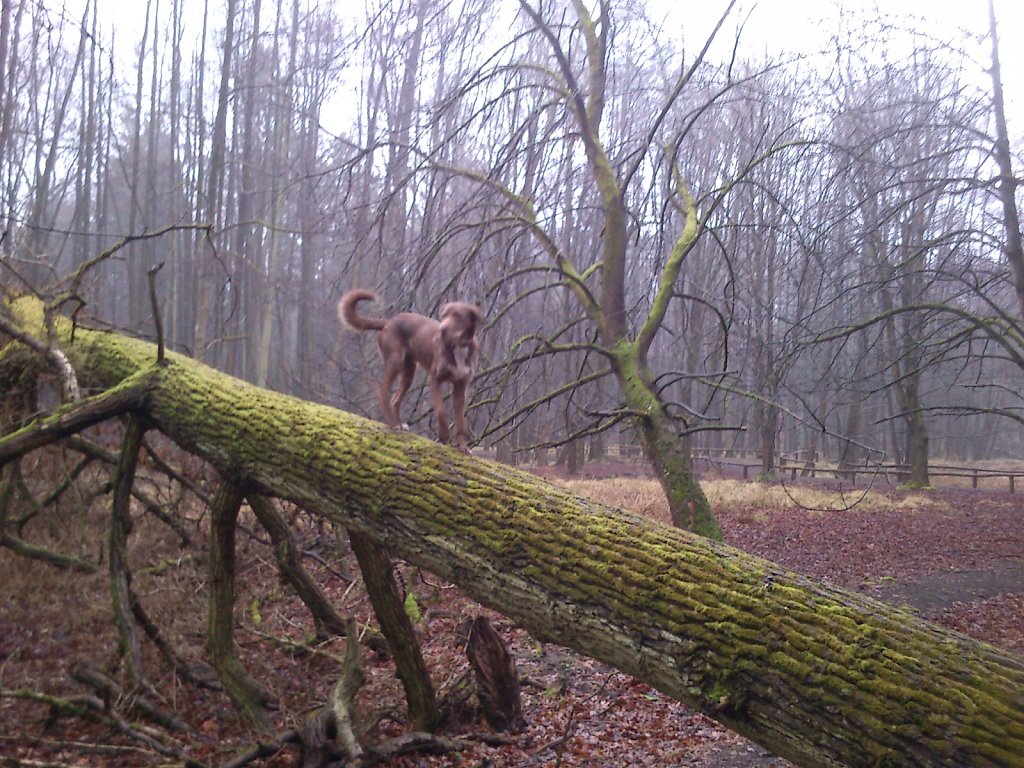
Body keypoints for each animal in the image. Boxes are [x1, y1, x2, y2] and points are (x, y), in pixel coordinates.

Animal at [335, 290, 479, 454]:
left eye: (458, 316)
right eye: (444, 316)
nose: (442, 330)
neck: (459, 347)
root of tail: (388, 322)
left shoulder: (460, 386)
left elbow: (460, 422)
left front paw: (463, 447)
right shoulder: (434, 379)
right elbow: (441, 412)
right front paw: (444, 436)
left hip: (409, 371)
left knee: (395, 400)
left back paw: (399, 423)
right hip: (395, 362)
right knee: (383, 393)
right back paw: (393, 423)